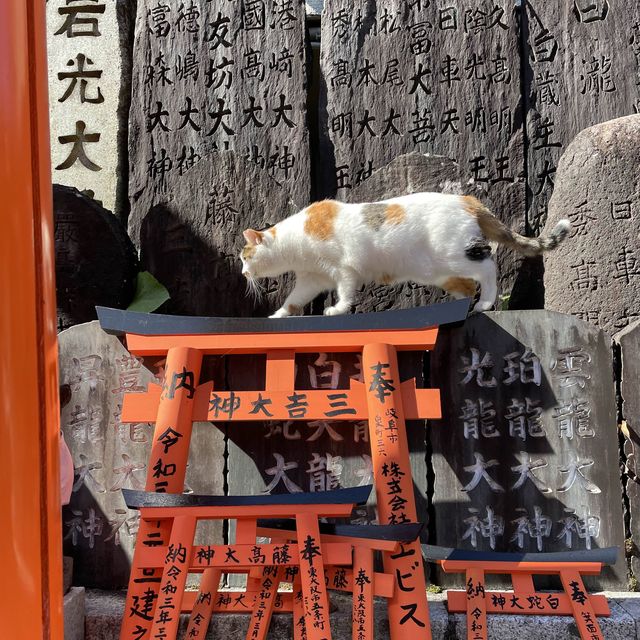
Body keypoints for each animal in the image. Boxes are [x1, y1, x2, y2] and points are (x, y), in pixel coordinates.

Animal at [239, 192, 568, 318]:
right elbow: (293, 301)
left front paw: (337, 309)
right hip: (439, 271)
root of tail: (468, 199)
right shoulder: (311, 279)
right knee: (466, 285)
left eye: (244, 256)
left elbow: (345, 292)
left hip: (454, 254)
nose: (242, 273)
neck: (298, 240)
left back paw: (485, 304)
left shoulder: (345, 269)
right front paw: (277, 315)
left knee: (487, 268)